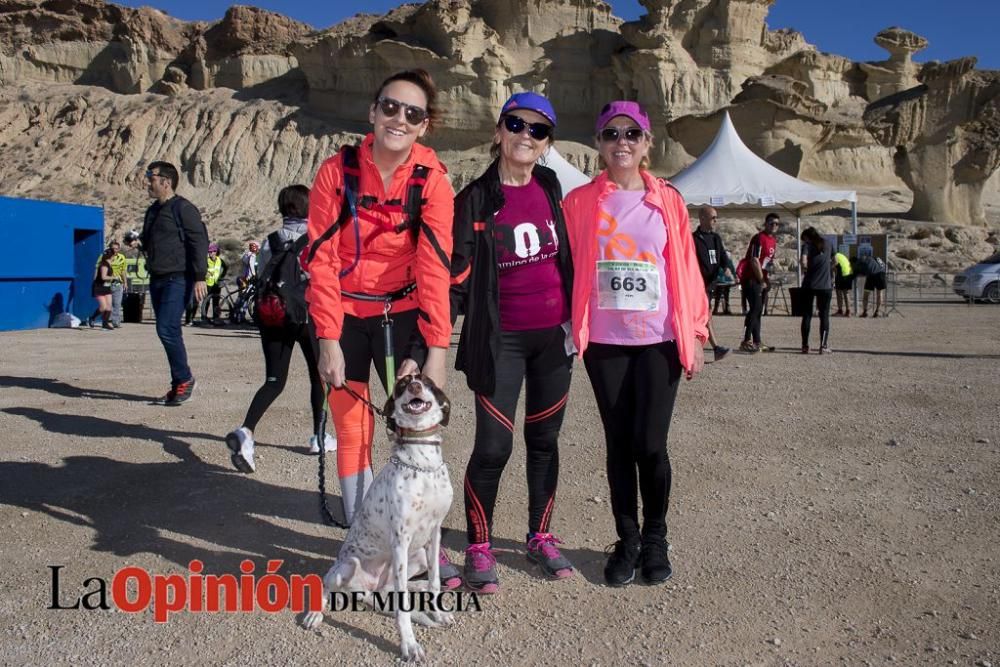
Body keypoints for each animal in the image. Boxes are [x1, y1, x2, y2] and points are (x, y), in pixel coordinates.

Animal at [302, 376, 456, 664]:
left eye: (427, 382)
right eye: (402, 383)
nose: (415, 385)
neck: (423, 463)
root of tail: (367, 590)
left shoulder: (434, 533)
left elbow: (435, 580)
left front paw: (437, 611)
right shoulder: (400, 541)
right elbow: (402, 610)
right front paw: (409, 645)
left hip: (417, 556)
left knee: (394, 588)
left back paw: (417, 585)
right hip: (348, 565)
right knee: (327, 587)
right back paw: (315, 614)